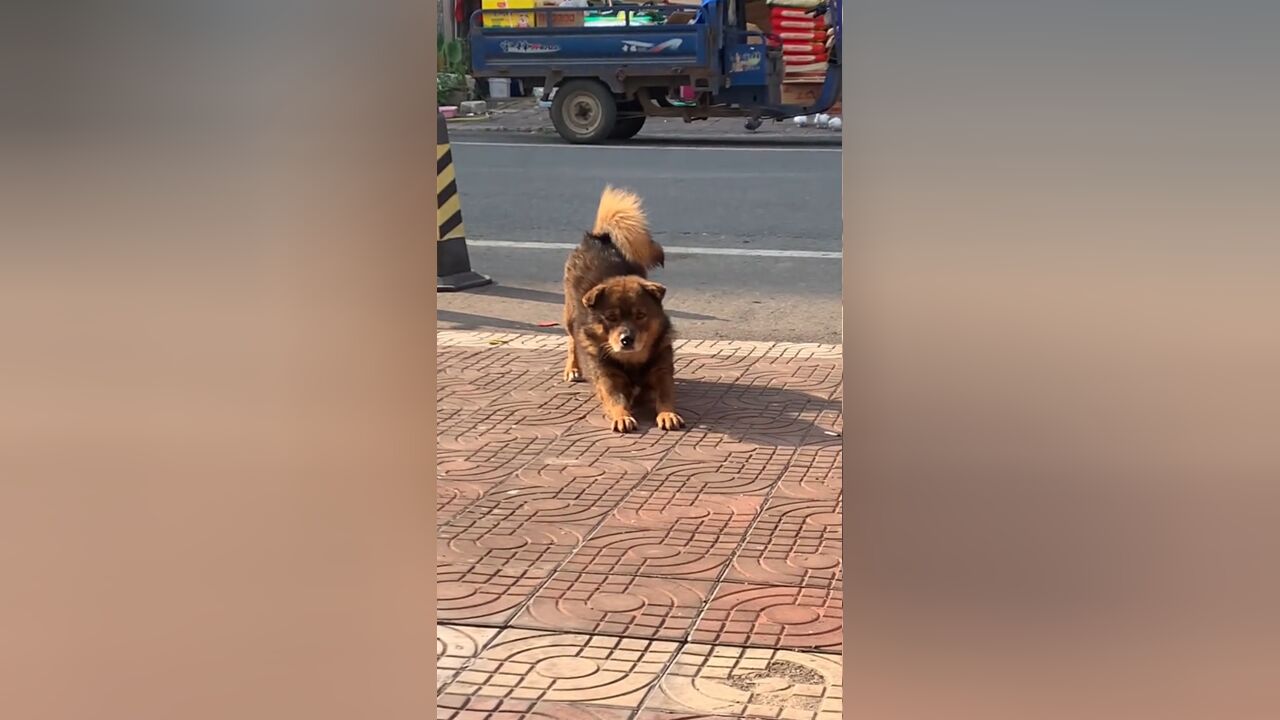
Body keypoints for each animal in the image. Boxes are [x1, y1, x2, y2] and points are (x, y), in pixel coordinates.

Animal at [558, 184, 680, 430]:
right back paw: (573, 368)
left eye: (640, 315)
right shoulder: (608, 378)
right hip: (569, 314)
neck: (632, 361)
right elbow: (615, 399)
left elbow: (666, 395)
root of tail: (599, 238)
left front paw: (668, 414)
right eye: (611, 317)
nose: (626, 340)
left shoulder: (662, 371)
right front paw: (622, 416)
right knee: (572, 340)